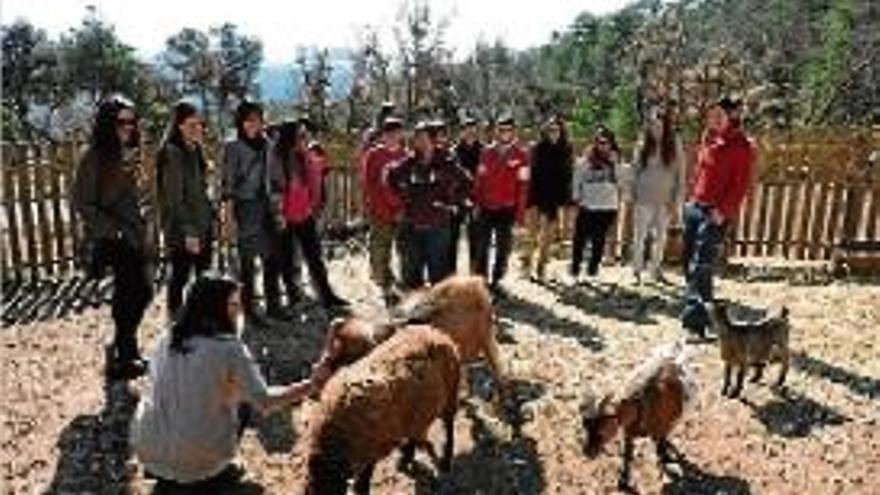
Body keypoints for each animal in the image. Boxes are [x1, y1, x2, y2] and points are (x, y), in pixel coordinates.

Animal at [304, 326, 460, 495]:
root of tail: (435, 332)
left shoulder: (372, 449)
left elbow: (364, 480)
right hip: (417, 412)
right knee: (416, 432)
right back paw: (405, 460)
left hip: (451, 391)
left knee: (449, 424)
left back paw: (446, 460)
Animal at [580, 344, 696, 492]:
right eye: (585, 426)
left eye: (602, 430)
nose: (587, 452)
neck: (642, 407)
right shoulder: (628, 432)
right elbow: (627, 455)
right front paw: (623, 481)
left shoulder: (663, 426)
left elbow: (661, 445)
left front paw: (665, 458)